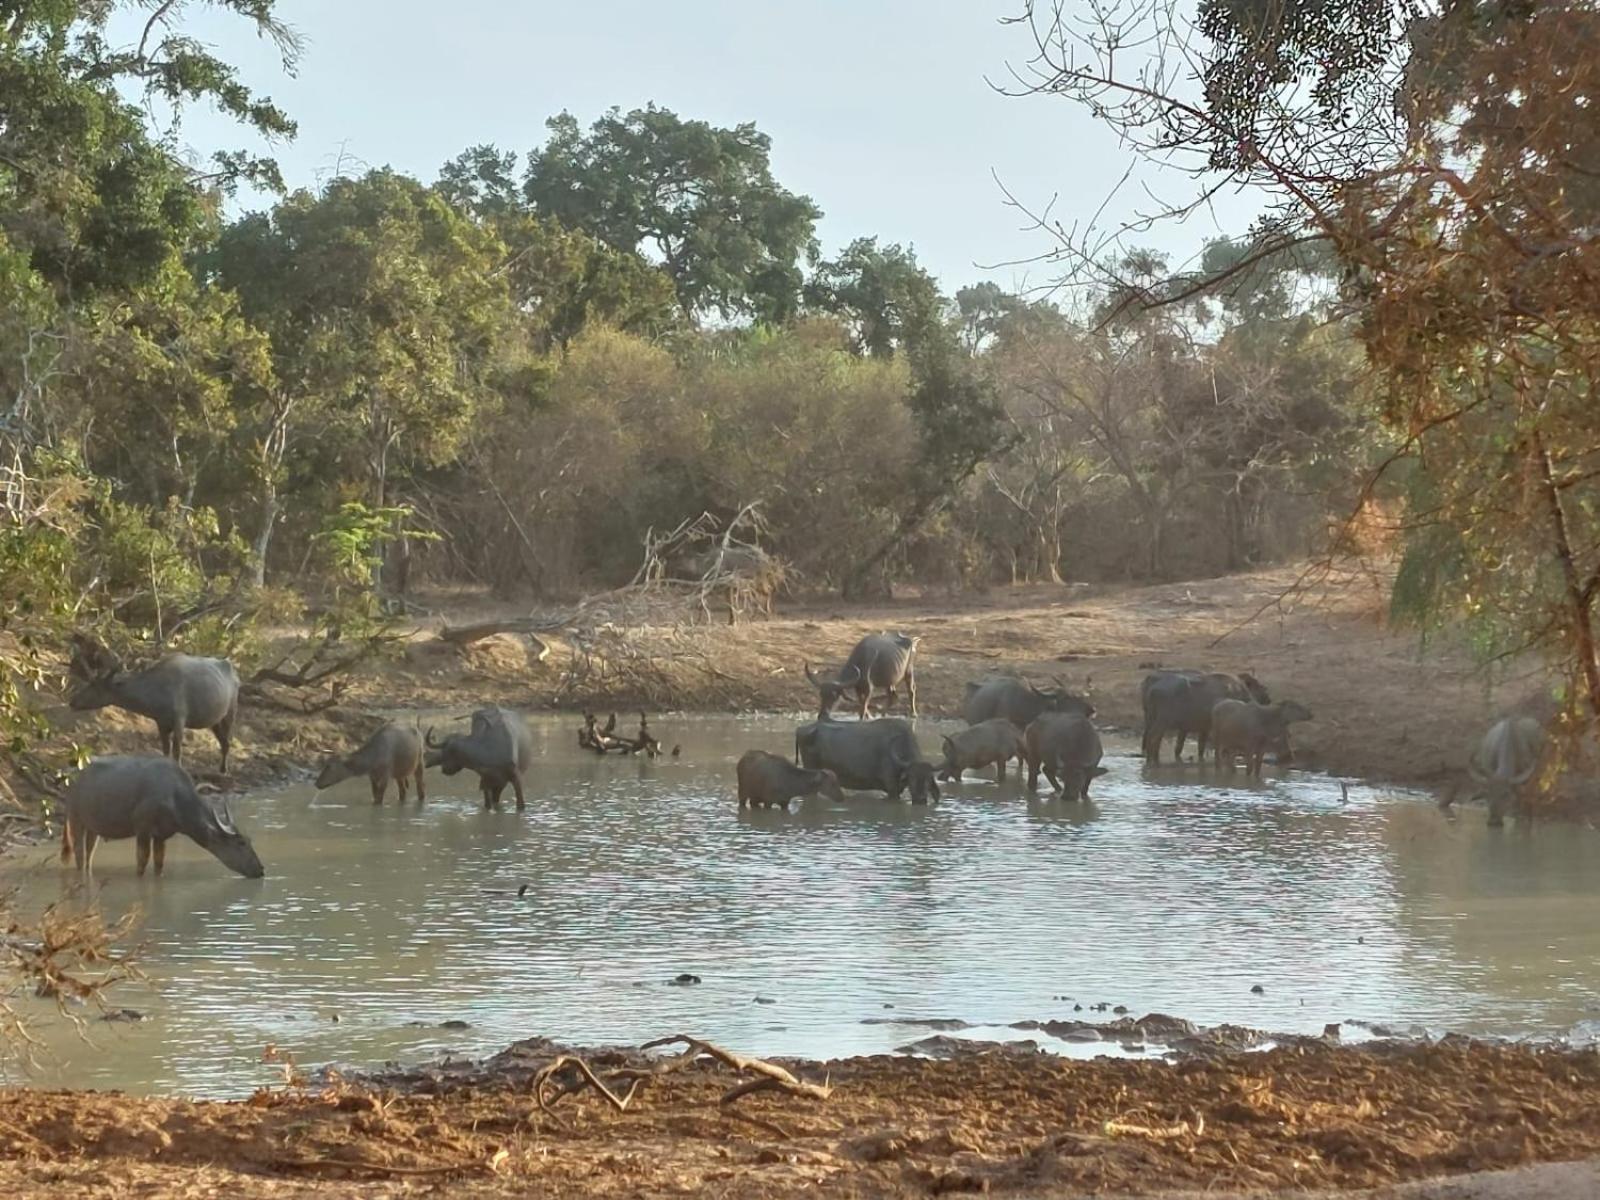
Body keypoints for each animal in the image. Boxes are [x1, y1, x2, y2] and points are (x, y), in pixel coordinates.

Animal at [60, 755, 262, 876]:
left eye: (250, 840)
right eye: (241, 843)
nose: (260, 869)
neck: (176, 802)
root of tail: (69, 776)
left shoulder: (162, 835)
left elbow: (159, 863)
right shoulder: (142, 828)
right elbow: (141, 862)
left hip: (92, 825)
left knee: (89, 853)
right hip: (75, 818)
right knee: (78, 852)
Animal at [68, 652, 240, 774]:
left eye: (95, 686)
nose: (73, 701)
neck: (154, 701)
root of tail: (236, 675)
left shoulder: (180, 718)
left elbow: (177, 751)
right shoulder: (161, 722)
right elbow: (165, 750)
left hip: (230, 711)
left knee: (227, 741)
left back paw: (224, 770)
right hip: (215, 721)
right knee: (224, 741)